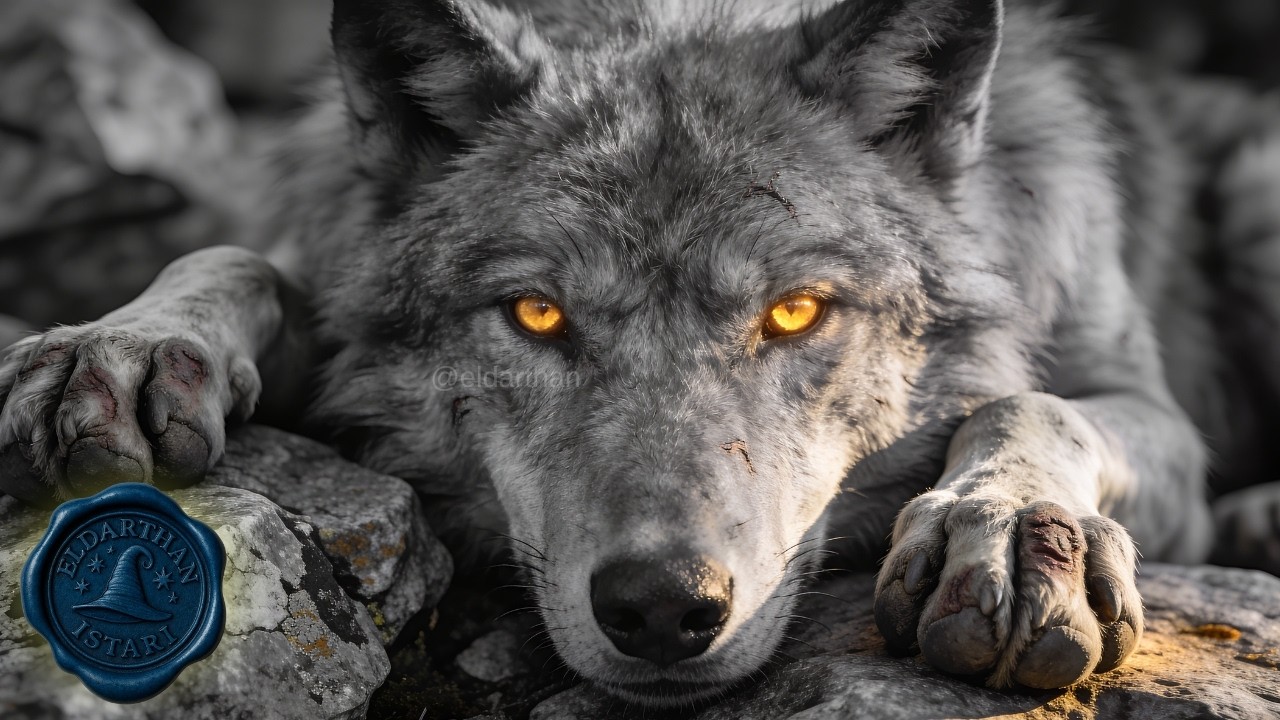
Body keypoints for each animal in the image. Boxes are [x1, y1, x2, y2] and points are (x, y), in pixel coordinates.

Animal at [3, 0, 1279, 707]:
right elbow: (240, 256)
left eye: (794, 315)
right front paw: (118, 344)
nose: (665, 609)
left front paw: (1005, 531)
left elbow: (1030, 406)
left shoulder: (1145, 407)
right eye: (535, 317)